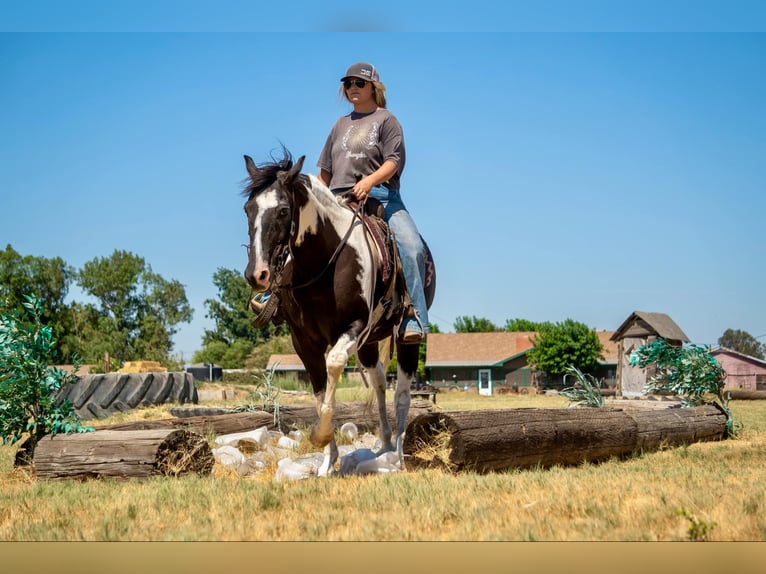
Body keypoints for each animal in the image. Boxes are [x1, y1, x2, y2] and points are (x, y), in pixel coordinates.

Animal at [241, 150, 435, 476]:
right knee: (379, 381)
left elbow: (333, 364)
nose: (258, 274)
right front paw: (326, 462)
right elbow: (320, 394)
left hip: (404, 338)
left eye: (283, 210)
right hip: (371, 343)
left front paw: (320, 436)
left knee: (402, 393)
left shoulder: (354, 327)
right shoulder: (304, 341)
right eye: (248, 209)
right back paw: (383, 446)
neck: (322, 265)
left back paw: (396, 456)